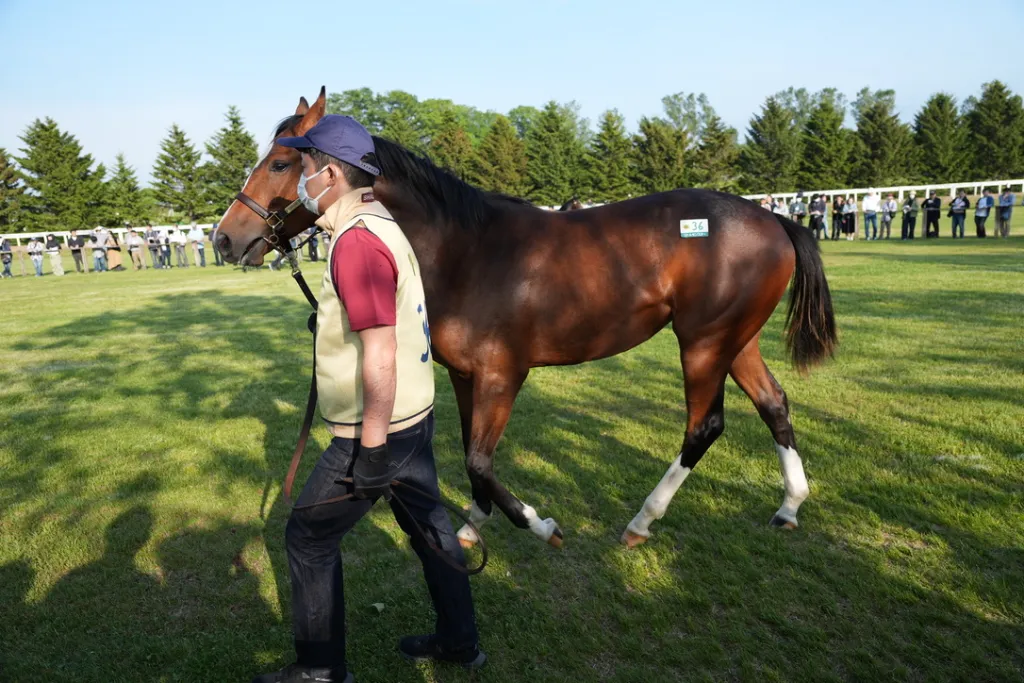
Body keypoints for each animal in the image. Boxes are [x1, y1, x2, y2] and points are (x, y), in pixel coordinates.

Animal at [214, 88, 837, 550]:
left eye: (281, 162)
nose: (225, 238)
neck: (466, 251)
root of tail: (773, 218)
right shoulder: (464, 376)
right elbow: (471, 456)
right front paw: (473, 523)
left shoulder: (502, 374)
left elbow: (480, 458)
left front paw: (540, 523)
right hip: (736, 340)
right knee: (774, 403)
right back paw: (789, 506)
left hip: (703, 343)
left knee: (704, 426)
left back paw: (642, 521)